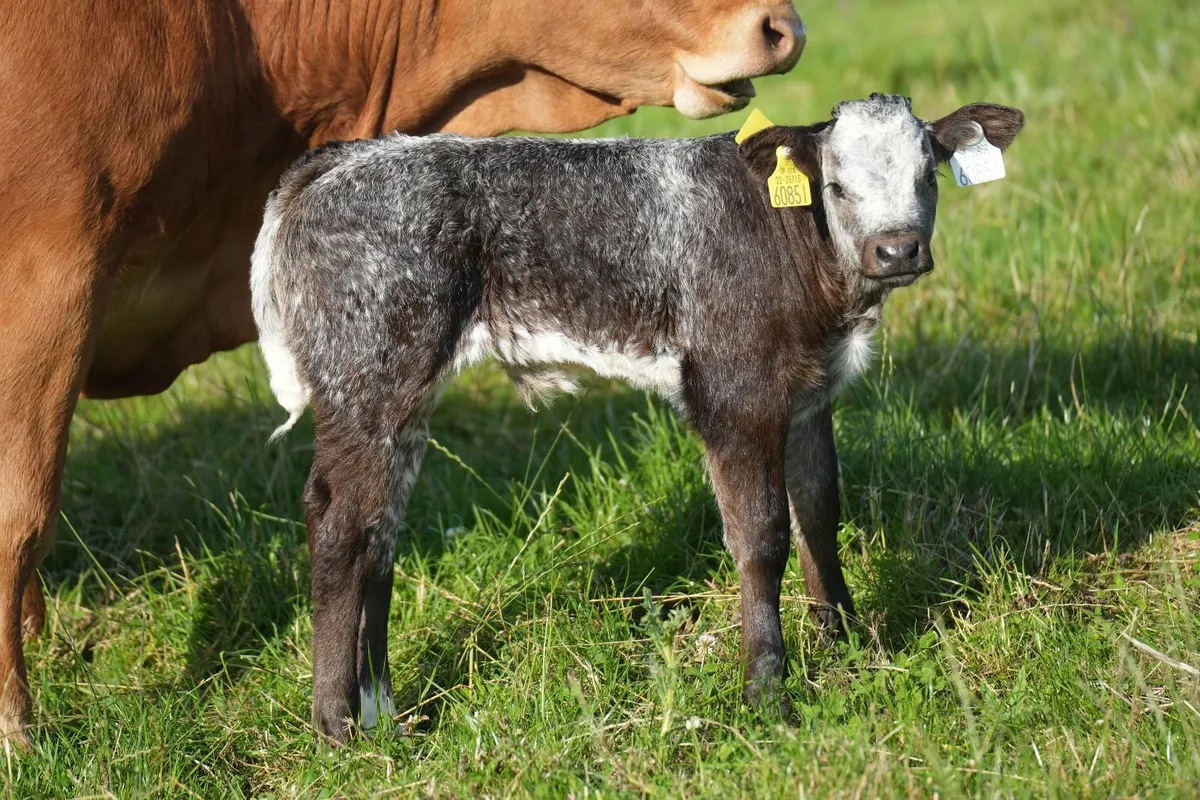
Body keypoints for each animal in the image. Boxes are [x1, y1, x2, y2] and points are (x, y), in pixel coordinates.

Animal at [251, 93, 1026, 741]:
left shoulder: (810, 394)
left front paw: (844, 639)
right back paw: (335, 723)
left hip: (403, 395)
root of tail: (342, 159)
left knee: (379, 531)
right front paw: (767, 689)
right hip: (365, 378)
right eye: (836, 186)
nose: (896, 250)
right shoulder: (734, 391)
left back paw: (382, 709)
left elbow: (820, 509)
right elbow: (762, 535)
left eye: (928, 176)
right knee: (338, 525)